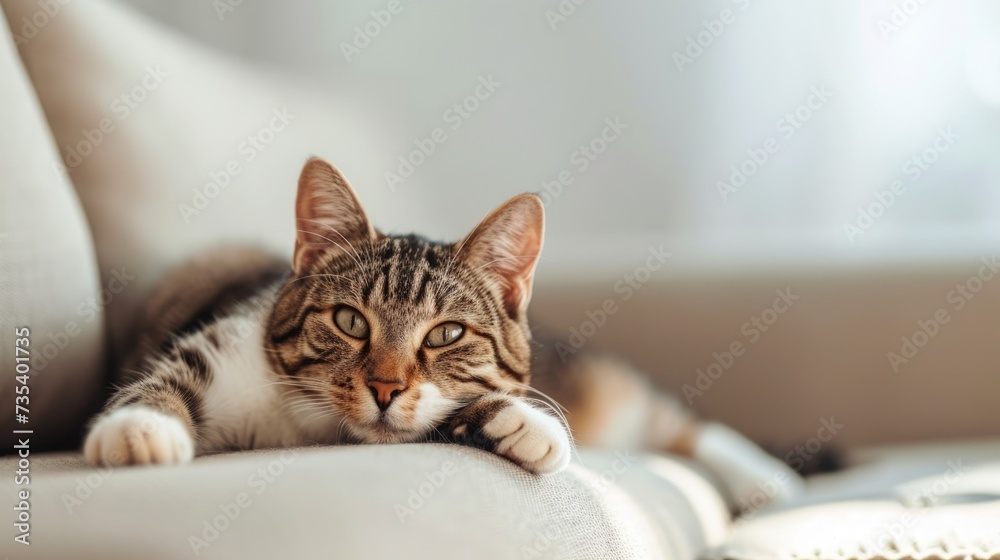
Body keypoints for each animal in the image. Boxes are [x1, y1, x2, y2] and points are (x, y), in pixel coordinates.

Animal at [86, 155, 804, 506]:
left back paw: (763, 476)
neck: (303, 427)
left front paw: (525, 423)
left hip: (605, 389)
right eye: (349, 321)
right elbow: (169, 377)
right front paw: (138, 430)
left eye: (445, 335)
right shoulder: (222, 346)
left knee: (671, 418)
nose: (384, 388)